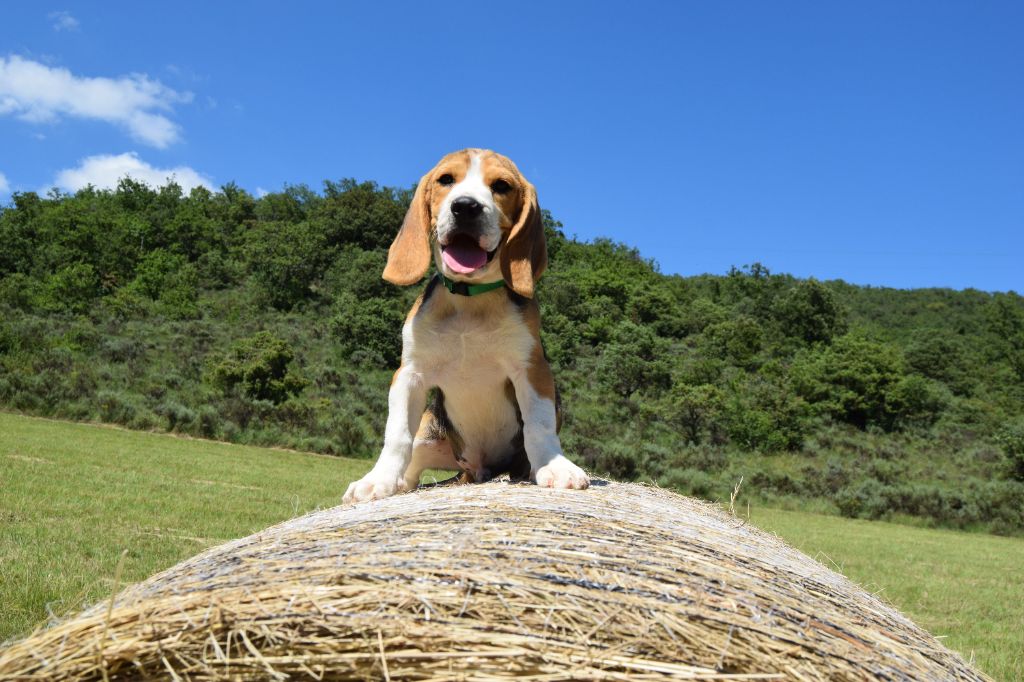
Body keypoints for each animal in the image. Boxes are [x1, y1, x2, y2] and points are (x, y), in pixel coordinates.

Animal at [342, 147, 589, 499]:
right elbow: (397, 434)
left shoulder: (532, 369)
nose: (466, 207)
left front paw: (554, 467)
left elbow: (539, 426)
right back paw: (400, 482)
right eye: (446, 179)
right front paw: (378, 480)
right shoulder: (409, 374)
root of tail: (479, 471)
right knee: (414, 464)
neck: (471, 301)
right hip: (431, 429)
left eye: (501, 186)